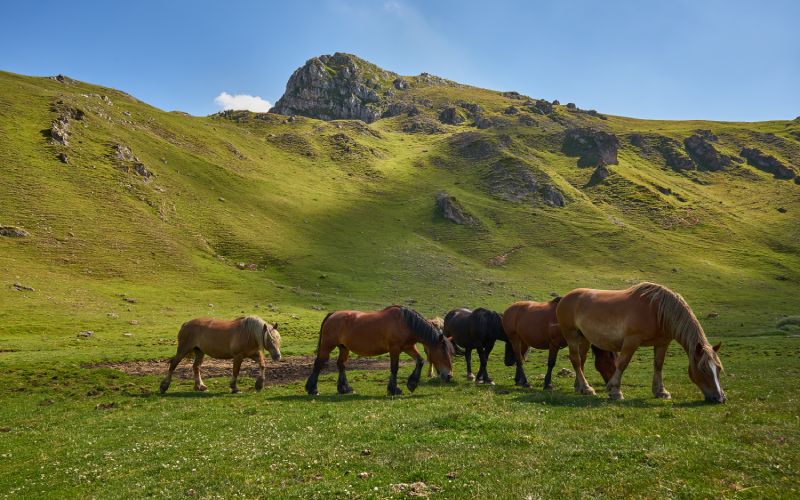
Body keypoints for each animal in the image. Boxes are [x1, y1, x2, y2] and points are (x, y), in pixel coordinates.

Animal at [305, 306, 455, 396]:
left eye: (451, 353)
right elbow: (394, 368)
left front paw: (412, 384)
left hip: (344, 348)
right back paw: (313, 389)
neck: (405, 322)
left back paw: (345, 388)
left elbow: (420, 360)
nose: (449, 376)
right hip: (327, 346)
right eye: (443, 352)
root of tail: (333, 314)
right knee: (318, 364)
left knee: (340, 365)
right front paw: (394, 389)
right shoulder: (395, 349)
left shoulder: (408, 347)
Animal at [556, 282, 725, 402]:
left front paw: (661, 392)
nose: (720, 398)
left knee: (581, 360)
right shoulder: (632, 340)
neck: (657, 311)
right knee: (576, 360)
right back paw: (586, 388)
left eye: (718, 369)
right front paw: (615, 391)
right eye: (703, 369)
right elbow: (622, 363)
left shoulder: (662, 343)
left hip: (584, 338)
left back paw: (580, 387)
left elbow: (658, 365)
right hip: (571, 335)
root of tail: (566, 297)